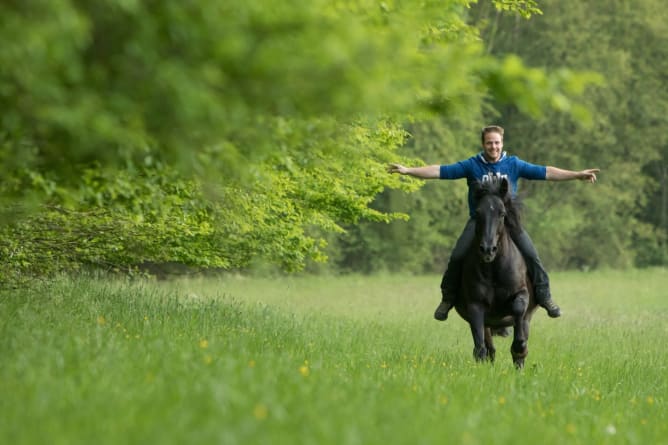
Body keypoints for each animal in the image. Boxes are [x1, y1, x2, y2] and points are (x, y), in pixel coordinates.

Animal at [456, 177, 540, 368]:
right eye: (478, 213)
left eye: (502, 213)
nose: (488, 249)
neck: (494, 270)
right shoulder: (475, 305)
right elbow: (480, 345)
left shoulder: (522, 294)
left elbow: (518, 309)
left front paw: (519, 347)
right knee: (488, 347)